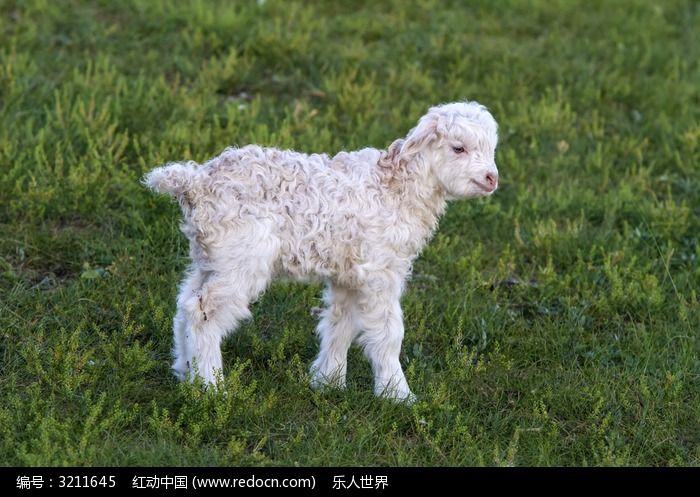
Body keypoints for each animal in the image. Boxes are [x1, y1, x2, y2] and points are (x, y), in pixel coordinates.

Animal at [145, 101, 500, 404]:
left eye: (491, 149)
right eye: (458, 148)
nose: (491, 178)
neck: (395, 189)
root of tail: (194, 182)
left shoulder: (348, 272)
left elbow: (341, 323)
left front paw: (328, 382)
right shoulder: (380, 270)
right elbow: (388, 332)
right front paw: (398, 395)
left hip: (210, 256)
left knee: (185, 302)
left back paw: (185, 373)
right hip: (242, 259)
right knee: (203, 312)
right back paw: (212, 387)